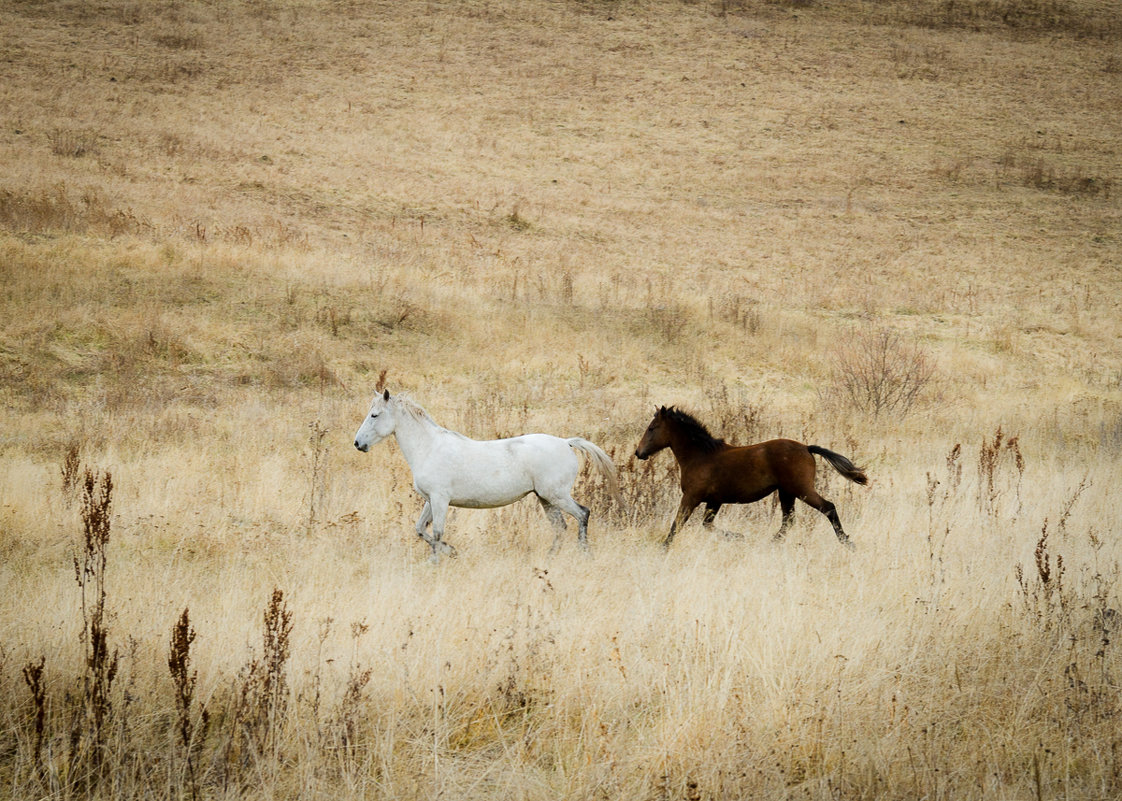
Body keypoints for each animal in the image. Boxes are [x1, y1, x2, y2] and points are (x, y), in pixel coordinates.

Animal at [352, 390, 623, 558]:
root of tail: (566, 443)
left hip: (556, 495)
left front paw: (437, 560)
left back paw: (584, 553)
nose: (357, 444)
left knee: (583, 514)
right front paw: (450, 552)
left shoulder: (440, 499)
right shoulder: (431, 500)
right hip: (545, 498)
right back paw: (550, 557)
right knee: (561, 527)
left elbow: (437, 532)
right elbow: (420, 529)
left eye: (375, 415)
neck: (429, 447)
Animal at [632, 406, 866, 549]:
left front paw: (664, 548)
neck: (700, 455)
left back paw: (847, 542)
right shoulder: (714, 501)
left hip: (802, 490)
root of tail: (807, 448)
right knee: (788, 520)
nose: (638, 452)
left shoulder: (691, 497)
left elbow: (677, 524)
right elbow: (707, 525)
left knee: (828, 507)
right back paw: (771, 543)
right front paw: (739, 537)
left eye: (652, 428)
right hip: (786, 492)